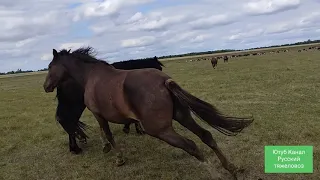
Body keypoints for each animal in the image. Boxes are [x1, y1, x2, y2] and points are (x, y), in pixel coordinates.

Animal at [43, 47, 252, 179]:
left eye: (50, 67)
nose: (46, 86)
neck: (90, 76)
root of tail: (164, 81)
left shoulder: (98, 114)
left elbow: (107, 134)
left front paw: (118, 157)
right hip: (182, 116)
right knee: (206, 136)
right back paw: (232, 169)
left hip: (159, 129)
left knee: (192, 146)